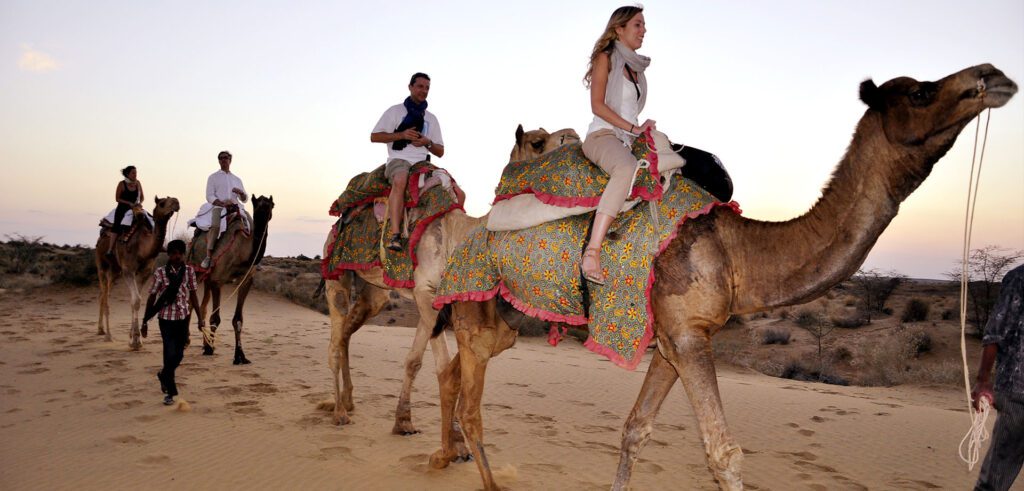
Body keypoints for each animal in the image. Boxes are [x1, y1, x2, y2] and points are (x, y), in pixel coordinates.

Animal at [95, 196, 181, 350]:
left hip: (116, 271)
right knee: (105, 295)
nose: (176, 202)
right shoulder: (128, 270)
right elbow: (136, 300)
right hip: (101, 264)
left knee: (103, 294)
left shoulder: (144, 273)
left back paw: (101, 330)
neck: (142, 247)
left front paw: (134, 337)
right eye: (162, 203)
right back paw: (108, 336)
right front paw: (135, 341)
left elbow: (137, 300)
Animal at [192, 195, 274, 365]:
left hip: (206, 278)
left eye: (271, 205)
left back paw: (204, 342)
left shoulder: (245, 281)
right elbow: (215, 318)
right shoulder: (218, 280)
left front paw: (240, 356)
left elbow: (238, 320)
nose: (262, 220)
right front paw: (210, 349)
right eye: (256, 206)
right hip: (193, 269)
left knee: (202, 306)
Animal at [320, 126, 579, 434]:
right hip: (335, 271)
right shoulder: (425, 291)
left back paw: (349, 401)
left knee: (348, 331)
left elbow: (423, 363)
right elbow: (436, 365)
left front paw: (414, 424)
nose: (573, 135)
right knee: (335, 339)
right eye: (537, 142)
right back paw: (338, 412)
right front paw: (444, 432)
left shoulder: (435, 301)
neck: (458, 237)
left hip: (376, 292)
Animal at [427, 64, 1018, 490]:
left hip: (500, 322)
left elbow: (635, 430)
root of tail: (474, 230)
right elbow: (724, 454)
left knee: (457, 376)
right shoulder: (689, 340)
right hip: (476, 310)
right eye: (920, 92)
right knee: (472, 407)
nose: (992, 75)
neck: (737, 253)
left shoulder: (676, 339)